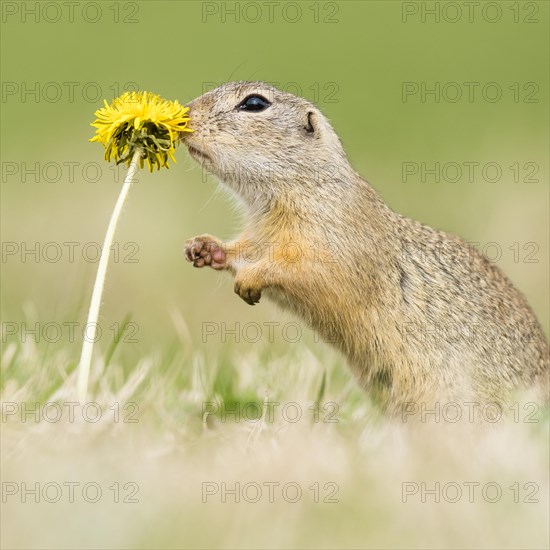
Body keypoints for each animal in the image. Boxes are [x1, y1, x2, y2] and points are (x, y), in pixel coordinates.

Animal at [183, 81, 548, 418]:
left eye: (254, 103)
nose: (186, 113)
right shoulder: (259, 235)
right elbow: (243, 250)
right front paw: (204, 248)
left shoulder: (331, 242)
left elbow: (302, 270)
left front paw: (250, 280)